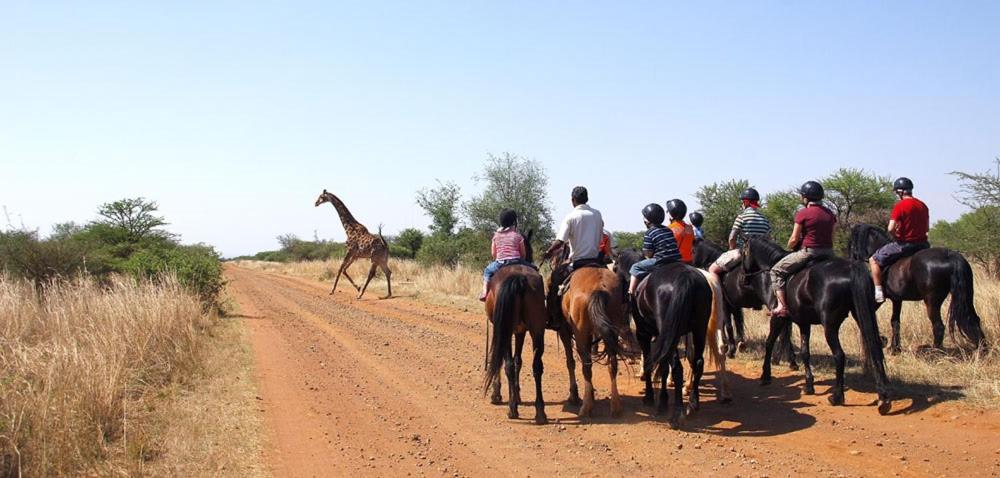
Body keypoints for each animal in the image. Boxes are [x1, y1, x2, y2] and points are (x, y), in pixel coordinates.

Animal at [482, 230, 548, 424]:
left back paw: (512, 409)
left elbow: (500, 359)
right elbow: (519, 360)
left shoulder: (501, 329)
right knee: (537, 366)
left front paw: (497, 394)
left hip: (507, 329)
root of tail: (519, 278)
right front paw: (517, 395)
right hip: (537, 330)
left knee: (508, 364)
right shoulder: (520, 331)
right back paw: (540, 411)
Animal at [548, 246, 632, 418]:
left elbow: (570, 362)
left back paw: (586, 406)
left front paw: (574, 395)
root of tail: (599, 287)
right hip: (613, 329)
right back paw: (615, 406)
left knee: (586, 365)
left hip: (580, 334)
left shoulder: (565, 331)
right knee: (612, 363)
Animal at [744, 237, 892, 412]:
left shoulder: (778, 318)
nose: (744, 279)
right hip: (861, 314)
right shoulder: (803, 323)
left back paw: (837, 397)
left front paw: (765, 376)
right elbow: (805, 352)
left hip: (829, 325)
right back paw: (883, 397)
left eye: (743, 252)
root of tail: (850, 268)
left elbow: (769, 343)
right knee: (875, 346)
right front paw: (809, 385)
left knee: (839, 355)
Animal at [848, 223, 988, 352]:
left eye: (852, 243)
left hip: (932, 301)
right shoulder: (897, 300)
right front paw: (895, 348)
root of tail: (951, 255)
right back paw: (982, 348)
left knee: (938, 326)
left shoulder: (879, 300)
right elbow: (895, 322)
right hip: (966, 296)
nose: (850, 260)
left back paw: (935, 352)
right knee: (973, 319)